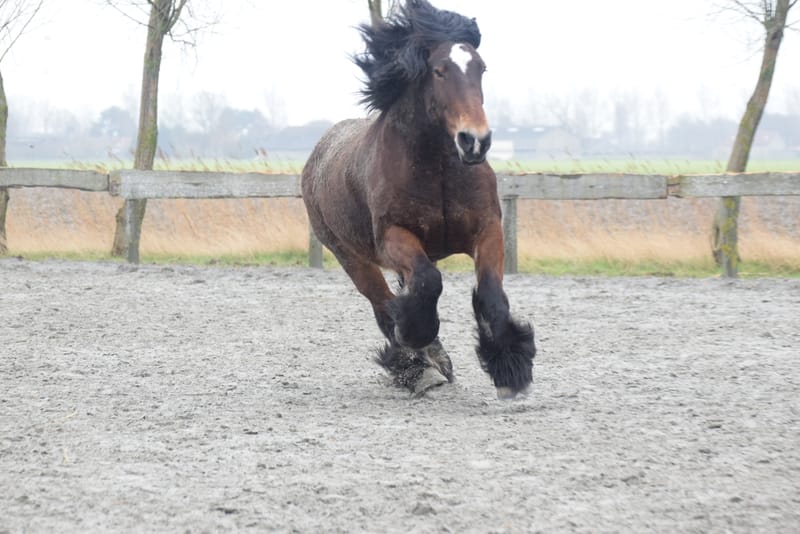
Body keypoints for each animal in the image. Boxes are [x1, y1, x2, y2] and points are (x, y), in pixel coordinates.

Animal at [301, 0, 535, 399]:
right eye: (439, 71)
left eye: (481, 68)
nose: (475, 141)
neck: (439, 171)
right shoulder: (394, 236)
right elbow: (427, 283)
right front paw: (418, 338)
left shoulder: (487, 229)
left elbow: (490, 293)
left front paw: (510, 368)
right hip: (352, 258)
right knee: (383, 306)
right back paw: (418, 367)